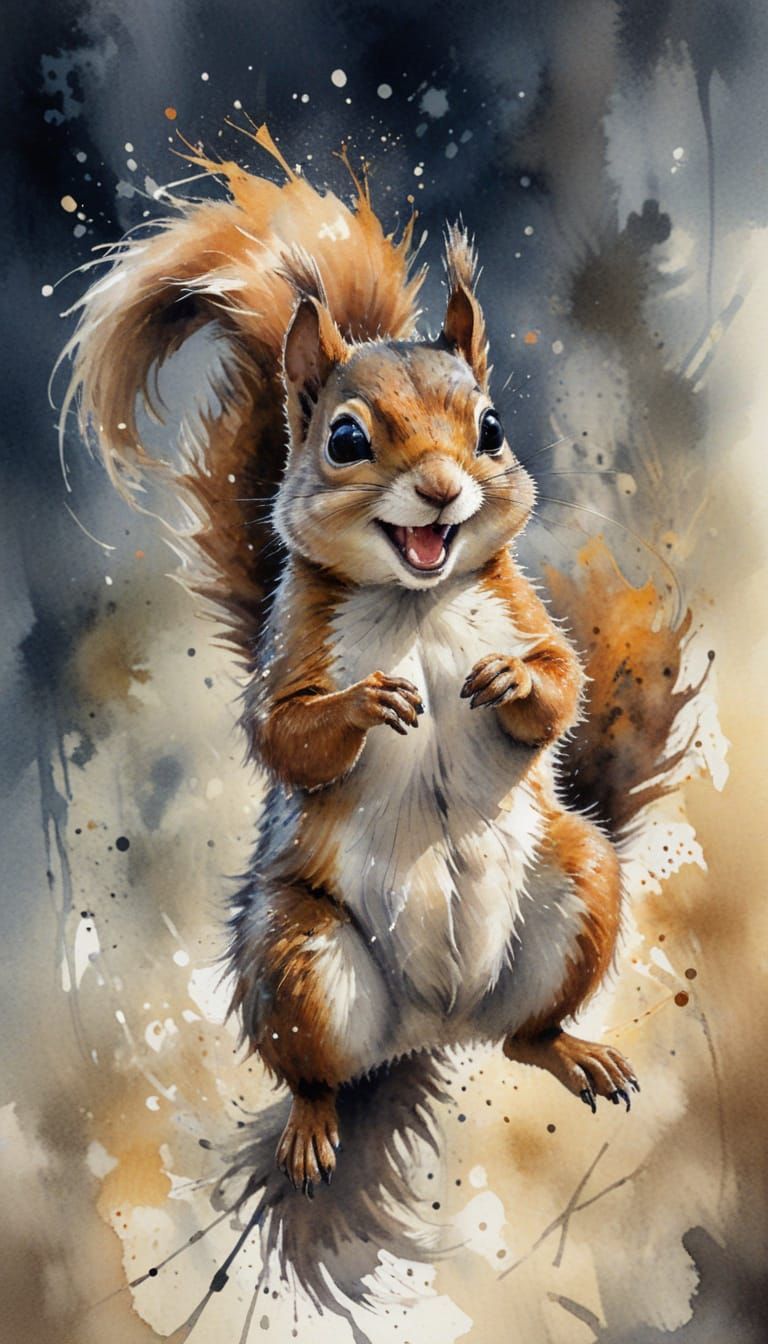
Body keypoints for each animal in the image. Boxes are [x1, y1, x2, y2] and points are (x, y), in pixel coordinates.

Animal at [64, 125, 638, 1198]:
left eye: (492, 428)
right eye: (344, 438)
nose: (445, 490)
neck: (417, 600)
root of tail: (439, 1021)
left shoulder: (522, 610)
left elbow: (562, 680)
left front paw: (509, 684)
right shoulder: (293, 651)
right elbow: (285, 734)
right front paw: (369, 704)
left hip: (581, 884)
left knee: (524, 1034)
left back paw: (568, 1049)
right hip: (296, 955)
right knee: (316, 1071)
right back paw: (311, 1125)